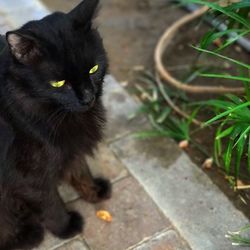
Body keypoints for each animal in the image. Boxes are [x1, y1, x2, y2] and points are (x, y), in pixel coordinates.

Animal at [0, 0, 110, 249]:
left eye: (93, 69)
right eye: (59, 83)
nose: (88, 97)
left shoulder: (70, 146)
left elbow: (81, 170)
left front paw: (94, 192)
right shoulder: (29, 177)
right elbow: (51, 204)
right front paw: (66, 227)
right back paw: (27, 235)